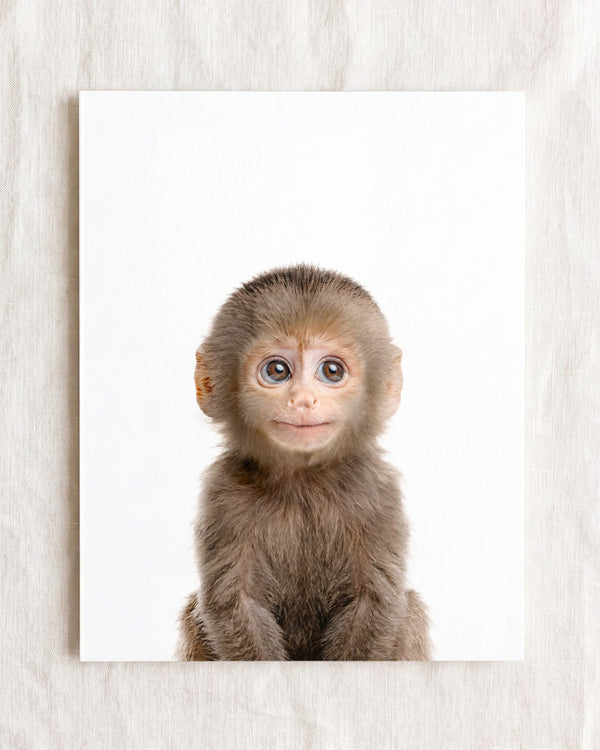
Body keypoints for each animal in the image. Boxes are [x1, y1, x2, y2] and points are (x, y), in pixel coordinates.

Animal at [177, 264, 431, 661]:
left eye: (331, 371)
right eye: (277, 371)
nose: (303, 400)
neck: (303, 481)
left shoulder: (378, 491)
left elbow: (373, 602)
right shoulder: (222, 493)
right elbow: (236, 603)